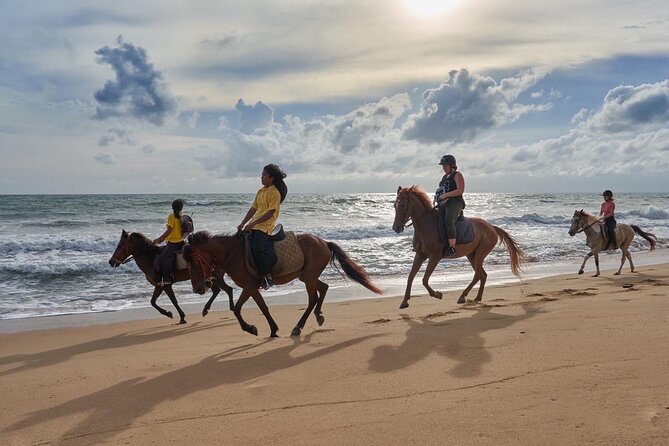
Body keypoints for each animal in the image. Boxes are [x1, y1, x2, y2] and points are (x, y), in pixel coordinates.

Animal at [107, 230, 235, 324]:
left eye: (120, 245)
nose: (111, 262)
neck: (151, 259)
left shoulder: (166, 284)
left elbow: (173, 300)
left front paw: (181, 317)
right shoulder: (159, 286)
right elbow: (152, 301)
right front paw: (168, 313)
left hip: (214, 277)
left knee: (227, 289)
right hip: (208, 278)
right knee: (218, 290)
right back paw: (206, 310)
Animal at [181, 230, 380, 338]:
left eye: (193, 262)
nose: (198, 288)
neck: (233, 253)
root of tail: (323, 242)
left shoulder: (249, 286)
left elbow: (236, 309)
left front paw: (250, 328)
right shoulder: (252, 287)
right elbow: (263, 307)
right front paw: (273, 329)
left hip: (308, 276)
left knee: (313, 298)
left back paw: (298, 327)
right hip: (307, 276)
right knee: (323, 288)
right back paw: (319, 316)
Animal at [388, 186, 524, 308]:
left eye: (403, 205)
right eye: (395, 205)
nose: (396, 228)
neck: (426, 226)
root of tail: (491, 227)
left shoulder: (434, 257)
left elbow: (425, 279)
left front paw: (437, 294)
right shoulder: (420, 255)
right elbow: (410, 277)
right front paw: (404, 301)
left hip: (480, 253)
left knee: (477, 275)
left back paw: (462, 296)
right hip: (471, 255)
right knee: (482, 275)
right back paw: (477, 298)